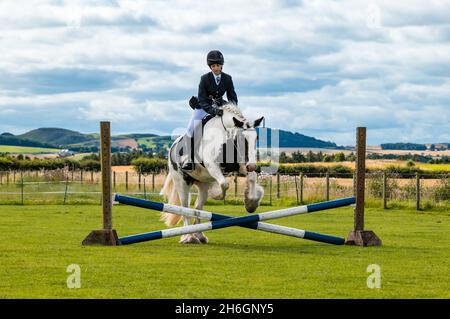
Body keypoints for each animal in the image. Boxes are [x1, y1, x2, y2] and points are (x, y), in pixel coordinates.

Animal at [159, 104, 264, 244]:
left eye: (256, 138)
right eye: (242, 138)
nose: (252, 166)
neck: (226, 137)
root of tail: (172, 148)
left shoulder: (241, 166)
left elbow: (251, 178)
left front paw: (251, 203)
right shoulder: (212, 165)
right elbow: (224, 184)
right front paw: (216, 195)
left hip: (203, 183)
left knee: (198, 208)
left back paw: (199, 235)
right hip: (181, 181)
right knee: (185, 207)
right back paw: (188, 237)